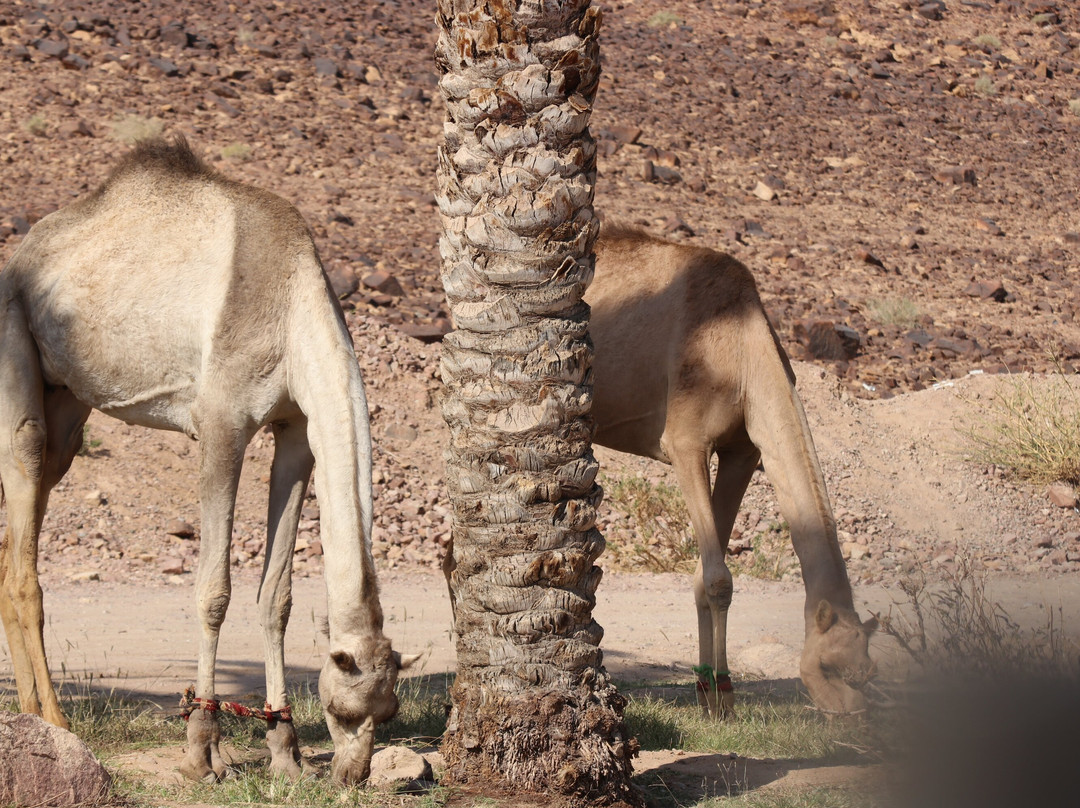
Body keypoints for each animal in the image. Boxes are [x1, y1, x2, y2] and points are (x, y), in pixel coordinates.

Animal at [0, 139, 414, 782]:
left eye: (388, 712)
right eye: (343, 713)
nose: (351, 776)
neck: (291, 304)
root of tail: (22, 255)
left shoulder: (297, 430)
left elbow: (277, 598)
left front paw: (284, 752)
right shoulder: (220, 425)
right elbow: (213, 591)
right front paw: (202, 748)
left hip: (68, 399)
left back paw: (35, 714)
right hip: (14, 327)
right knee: (25, 491)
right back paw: (52, 720)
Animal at [447, 223, 876, 717]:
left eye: (868, 672)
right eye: (829, 667)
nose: (855, 713)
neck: (743, 352)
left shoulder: (743, 451)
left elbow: (705, 574)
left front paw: (712, 691)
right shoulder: (686, 441)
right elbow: (719, 578)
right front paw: (721, 700)